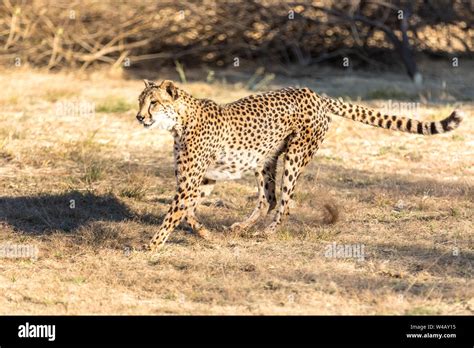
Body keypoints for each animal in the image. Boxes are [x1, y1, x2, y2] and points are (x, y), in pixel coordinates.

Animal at [135, 80, 462, 251]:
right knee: (268, 199)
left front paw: (150, 246)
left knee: (285, 202)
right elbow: (187, 211)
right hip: (265, 160)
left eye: (153, 103)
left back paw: (267, 233)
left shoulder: (192, 180)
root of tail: (311, 92)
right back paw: (243, 227)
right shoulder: (201, 180)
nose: (139, 117)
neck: (179, 121)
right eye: (140, 100)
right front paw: (203, 232)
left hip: (294, 156)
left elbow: (174, 212)